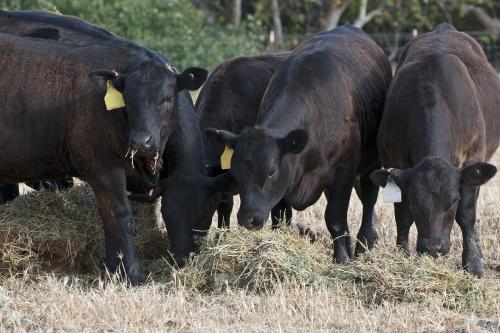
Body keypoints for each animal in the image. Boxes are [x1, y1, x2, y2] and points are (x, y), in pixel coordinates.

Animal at [205, 24, 392, 260]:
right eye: (236, 172)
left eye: (271, 171)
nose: (248, 218)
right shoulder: (285, 185)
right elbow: (279, 217)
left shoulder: (343, 170)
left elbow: (335, 219)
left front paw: (342, 259)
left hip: (371, 162)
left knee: (368, 199)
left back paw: (363, 245)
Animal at [370, 23, 498, 276]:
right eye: (415, 201)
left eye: (453, 201)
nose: (434, 247)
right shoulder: (393, 160)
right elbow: (402, 215)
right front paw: (403, 255)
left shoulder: (473, 158)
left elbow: (467, 214)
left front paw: (473, 263)